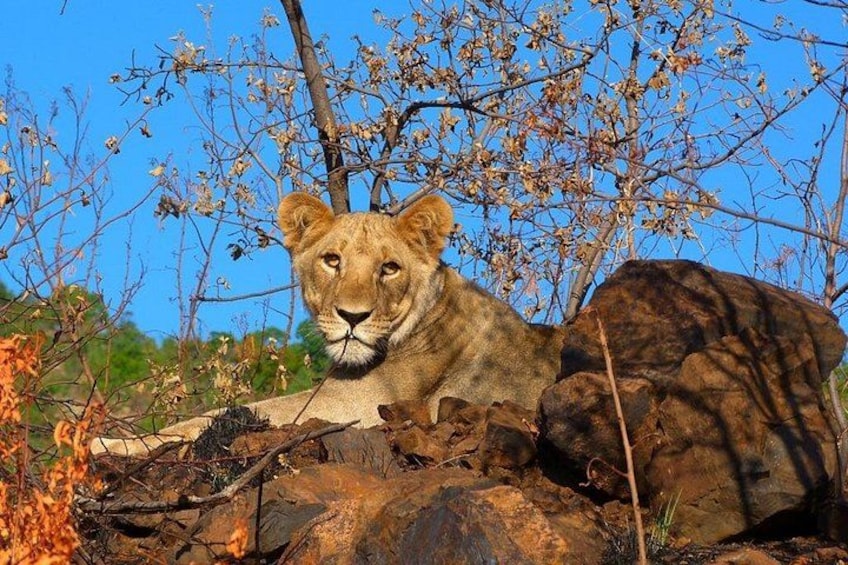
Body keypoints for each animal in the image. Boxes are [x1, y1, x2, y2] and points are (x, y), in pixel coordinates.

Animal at [91, 193, 564, 456]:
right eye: (332, 260)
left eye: (389, 268)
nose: (352, 317)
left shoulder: (358, 406)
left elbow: (208, 417)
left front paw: (108, 443)